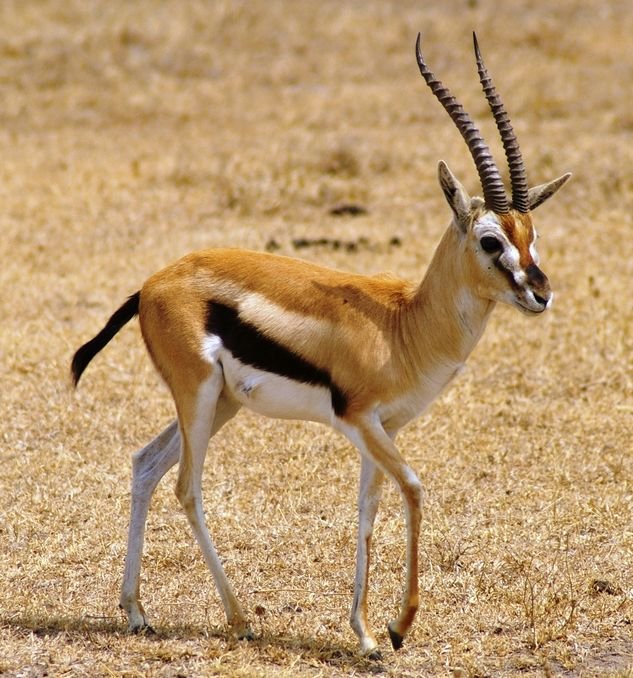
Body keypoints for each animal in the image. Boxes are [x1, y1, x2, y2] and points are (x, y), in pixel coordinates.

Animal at [71, 33, 570, 658]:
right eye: (489, 240)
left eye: (532, 235)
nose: (540, 294)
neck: (403, 323)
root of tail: (152, 283)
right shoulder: (359, 420)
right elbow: (413, 489)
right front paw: (398, 627)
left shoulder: (384, 428)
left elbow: (367, 511)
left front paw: (366, 634)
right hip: (199, 396)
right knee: (186, 486)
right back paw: (240, 619)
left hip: (221, 403)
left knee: (145, 465)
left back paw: (137, 613)